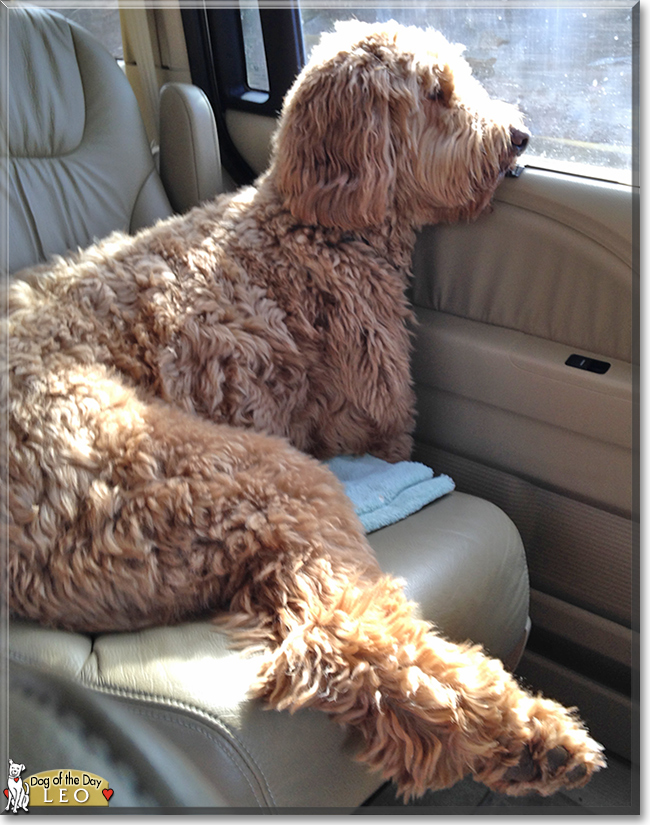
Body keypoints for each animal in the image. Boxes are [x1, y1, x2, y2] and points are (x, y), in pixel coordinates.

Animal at [3, 19, 604, 800]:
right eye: (436, 93)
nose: (522, 134)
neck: (314, 221)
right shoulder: (371, 422)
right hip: (257, 479)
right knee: (341, 630)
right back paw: (525, 733)